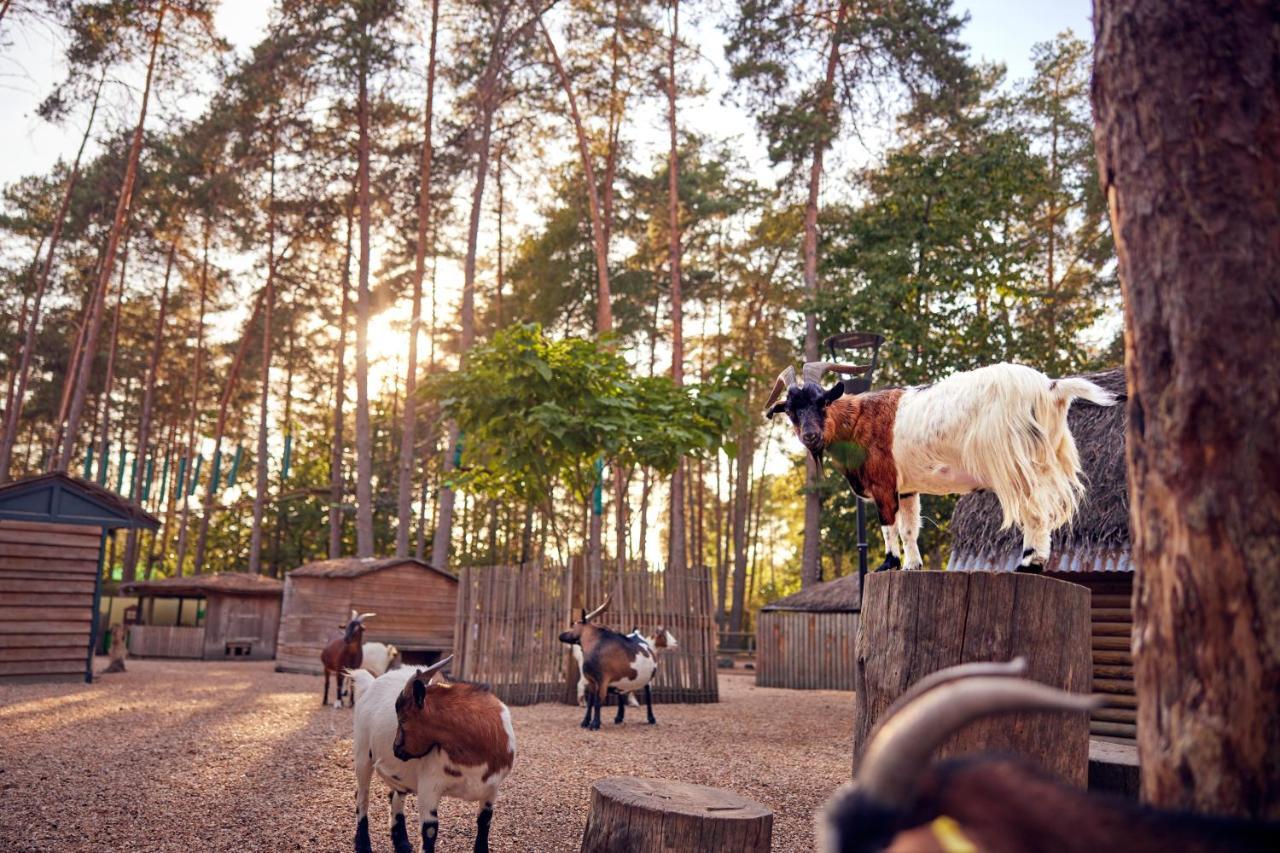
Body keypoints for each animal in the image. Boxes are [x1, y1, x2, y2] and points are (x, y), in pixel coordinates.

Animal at [350, 653, 514, 850]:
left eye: (402, 719)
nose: (396, 749)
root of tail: (370, 683)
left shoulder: (491, 790)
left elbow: (485, 823)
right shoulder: (429, 787)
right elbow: (429, 832)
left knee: (395, 795)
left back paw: (402, 843)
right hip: (362, 754)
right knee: (362, 795)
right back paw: (363, 844)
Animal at [558, 594, 660, 727]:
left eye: (574, 625)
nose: (561, 635)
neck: (597, 645)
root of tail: (637, 634)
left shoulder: (603, 680)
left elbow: (598, 701)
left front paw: (595, 724)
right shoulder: (592, 681)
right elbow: (591, 701)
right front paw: (585, 722)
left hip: (648, 680)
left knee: (648, 696)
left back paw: (651, 718)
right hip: (621, 681)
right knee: (621, 694)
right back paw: (619, 718)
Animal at [762, 358, 1116, 571]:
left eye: (822, 402)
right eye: (790, 409)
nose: (810, 435)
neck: (859, 418)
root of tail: (1050, 388)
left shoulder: (882, 483)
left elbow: (888, 525)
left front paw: (888, 564)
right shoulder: (906, 488)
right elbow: (909, 528)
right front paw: (911, 566)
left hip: (1015, 461)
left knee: (1034, 509)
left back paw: (1029, 562)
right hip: (1043, 457)